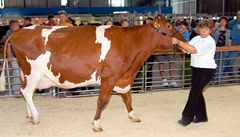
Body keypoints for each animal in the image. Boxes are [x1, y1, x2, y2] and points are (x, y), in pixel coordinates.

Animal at [0, 14, 195, 131]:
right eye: (169, 25)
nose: (186, 41)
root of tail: (19, 31)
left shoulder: (123, 77)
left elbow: (127, 97)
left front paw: (133, 115)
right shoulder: (109, 77)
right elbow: (102, 101)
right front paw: (96, 124)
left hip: (26, 73)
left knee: (25, 91)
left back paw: (29, 115)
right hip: (33, 72)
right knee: (26, 91)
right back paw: (36, 116)